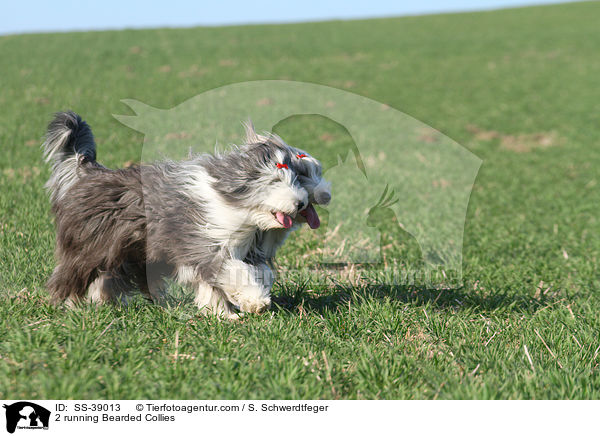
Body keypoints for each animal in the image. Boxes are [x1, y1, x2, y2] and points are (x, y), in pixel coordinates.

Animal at [42, 110, 330, 318]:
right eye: (275, 181)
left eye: (297, 178)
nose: (302, 202)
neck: (234, 205)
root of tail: (88, 172)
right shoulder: (204, 246)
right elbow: (233, 272)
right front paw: (254, 302)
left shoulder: (246, 250)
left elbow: (249, 276)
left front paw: (224, 313)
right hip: (90, 247)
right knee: (71, 275)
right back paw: (70, 305)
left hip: (124, 252)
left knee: (106, 278)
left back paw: (103, 302)